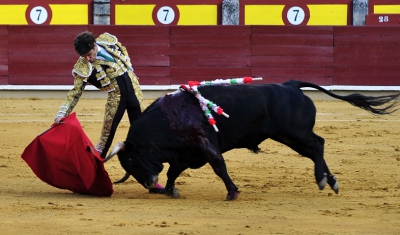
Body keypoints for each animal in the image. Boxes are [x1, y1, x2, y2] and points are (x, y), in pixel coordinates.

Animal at [104, 80, 398, 200]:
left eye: (131, 160)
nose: (148, 183)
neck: (167, 119)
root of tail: (290, 85)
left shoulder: (205, 146)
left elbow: (219, 167)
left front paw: (232, 192)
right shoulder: (187, 153)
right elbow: (174, 171)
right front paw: (169, 190)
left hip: (294, 132)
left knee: (318, 144)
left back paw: (324, 180)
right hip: (286, 135)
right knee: (315, 148)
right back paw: (330, 181)